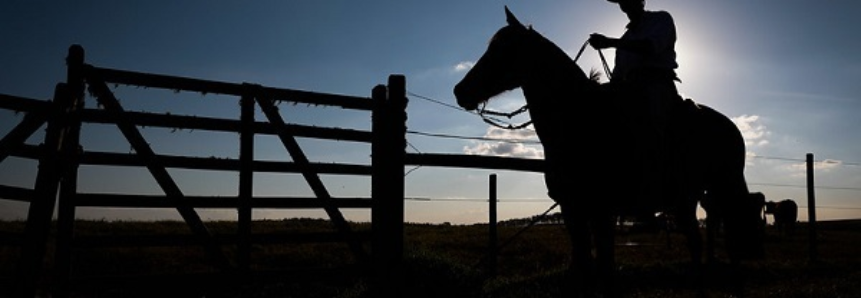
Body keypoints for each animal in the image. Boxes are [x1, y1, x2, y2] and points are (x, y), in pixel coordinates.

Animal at [454, 6, 764, 296]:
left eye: (503, 49)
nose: (460, 90)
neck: (582, 122)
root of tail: (729, 126)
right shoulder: (572, 209)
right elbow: (584, 265)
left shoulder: (603, 210)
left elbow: (604, 267)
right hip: (688, 197)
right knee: (697, 241)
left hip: (723, 186)